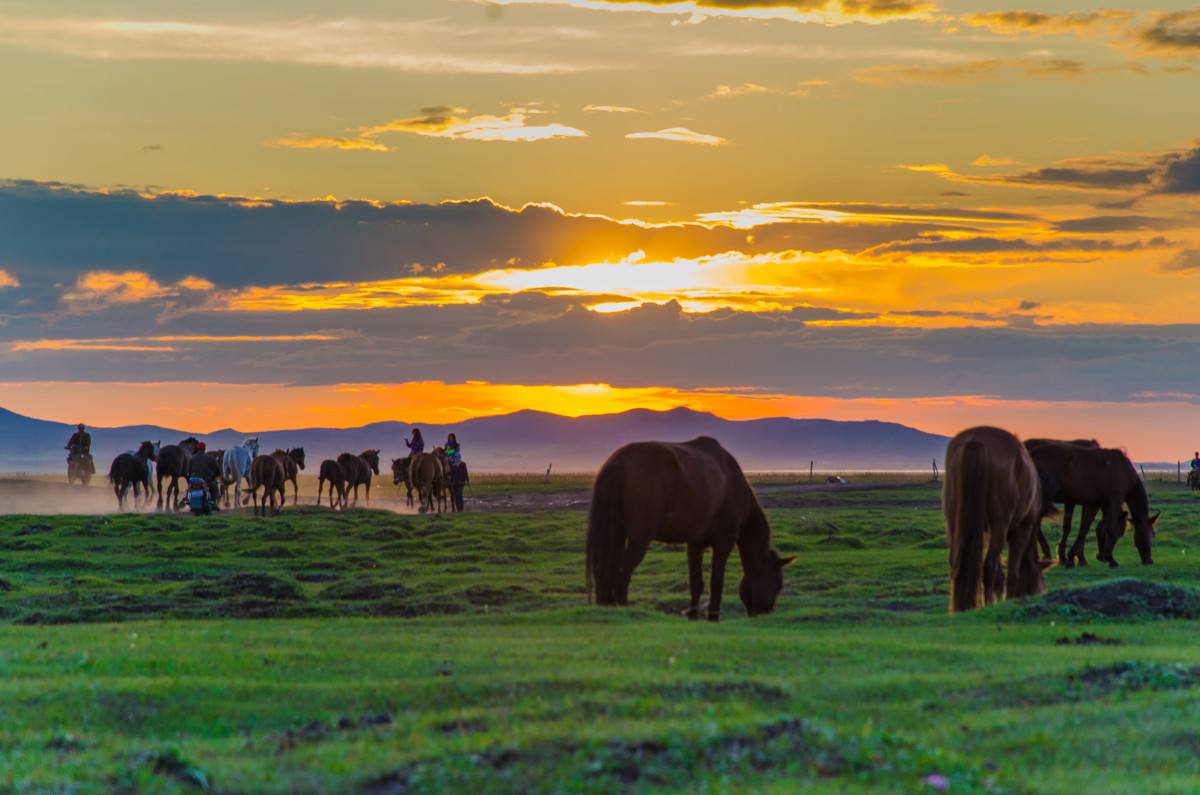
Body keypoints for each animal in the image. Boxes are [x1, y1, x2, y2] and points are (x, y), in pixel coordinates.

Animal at [585, 437, 792, 624]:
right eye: (778, 584)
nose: (766, 614)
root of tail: (618, 463)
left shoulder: (694, 544)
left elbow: (696, 582)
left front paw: (693, 615)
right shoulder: (724, 542)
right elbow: (716, 582)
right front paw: (713, 617)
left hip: (615, 534)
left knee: (606, 572)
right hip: (640, 538)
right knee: (622, 572)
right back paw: (625, 609)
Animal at [940, 427, 1046, 612]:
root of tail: (975, 440)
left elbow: (1000, 575)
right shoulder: (1021, 529)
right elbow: (1012, 573)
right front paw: (1009, 599)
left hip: (953, 522)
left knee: (956, 562)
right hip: (1000, 527)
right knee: (988, 567)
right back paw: (987, 604)